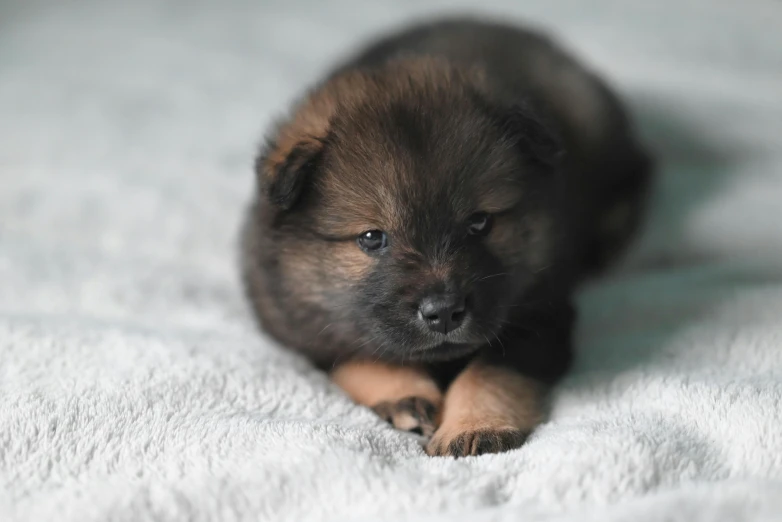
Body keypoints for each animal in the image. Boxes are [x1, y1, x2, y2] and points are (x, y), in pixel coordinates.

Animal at [240, 18, 656, 452]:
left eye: (479, 222)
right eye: (372, 237)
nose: (443, 312)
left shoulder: (543, 312)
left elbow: (492, 372)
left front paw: (476, 426)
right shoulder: (302, 324)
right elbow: (362, 351)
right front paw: (403, 395)